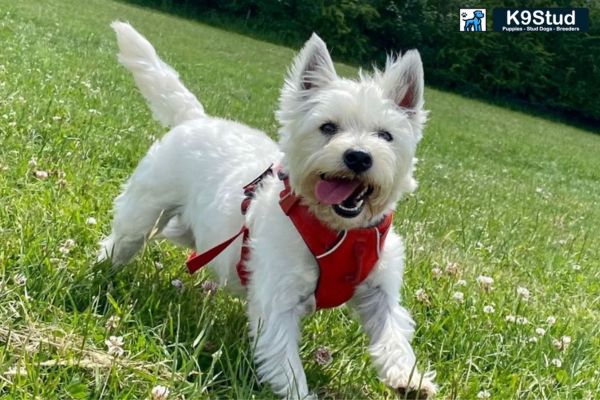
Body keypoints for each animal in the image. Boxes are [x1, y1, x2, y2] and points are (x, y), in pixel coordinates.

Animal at [99, 22, 436, 400]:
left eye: (386, 135)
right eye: (328, 127)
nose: (359, 157)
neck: (337, 230)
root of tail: (196, 119)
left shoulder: (379, 290)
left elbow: (392, 331)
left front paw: (409, 378)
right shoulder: (278, 298)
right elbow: (285, 360)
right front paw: (300, 393)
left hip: (191, 229)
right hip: (146, 211)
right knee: (125, 237)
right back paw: (102, 268)